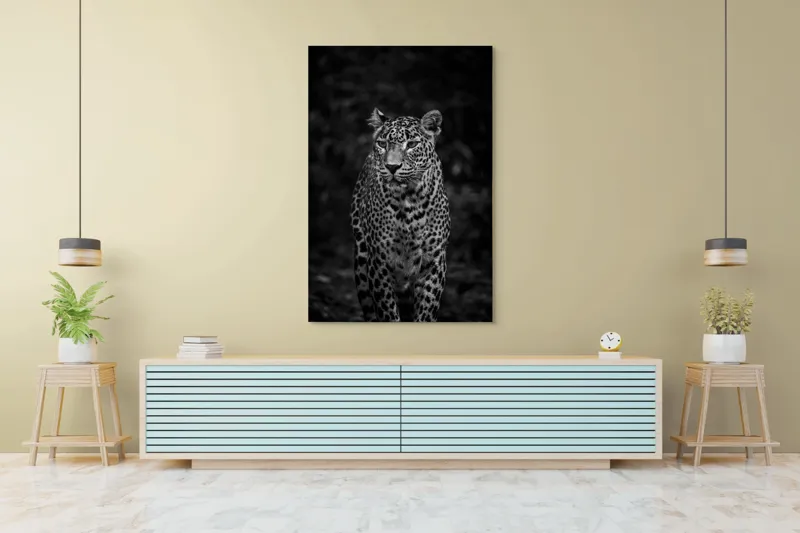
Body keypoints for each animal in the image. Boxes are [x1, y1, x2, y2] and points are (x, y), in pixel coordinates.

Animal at [349, 108, 451, 322]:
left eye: (411, 144)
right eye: (382, 144)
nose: (392, 167)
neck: (409, 199)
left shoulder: (434, 263)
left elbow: (426, 312)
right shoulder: (378, 262)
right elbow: (387, 311)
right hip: (361, 261)